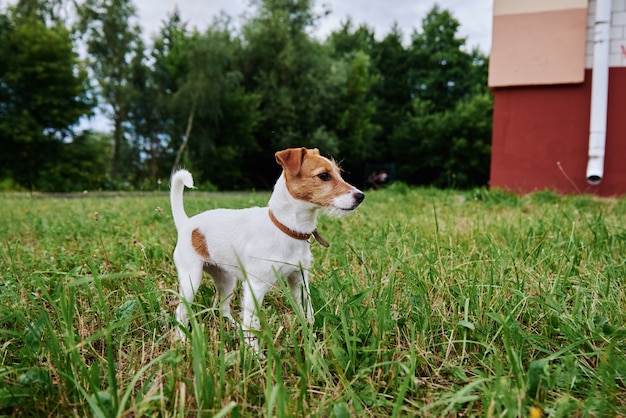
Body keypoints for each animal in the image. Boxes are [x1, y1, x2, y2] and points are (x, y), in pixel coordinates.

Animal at [168, 147, 364, 350]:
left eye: (340, 173)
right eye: (324, 175)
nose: (361, 196)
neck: (286, 229)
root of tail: (186, 224)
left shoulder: (299, 279)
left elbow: (307, 311)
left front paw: (312, 337)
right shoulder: (255, 286)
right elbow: (252, 323)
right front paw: (253, 352)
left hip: (227, 279)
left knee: (223, 308)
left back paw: (233, 326)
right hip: (191, 279)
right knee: (181, 311)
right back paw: (182, 339)